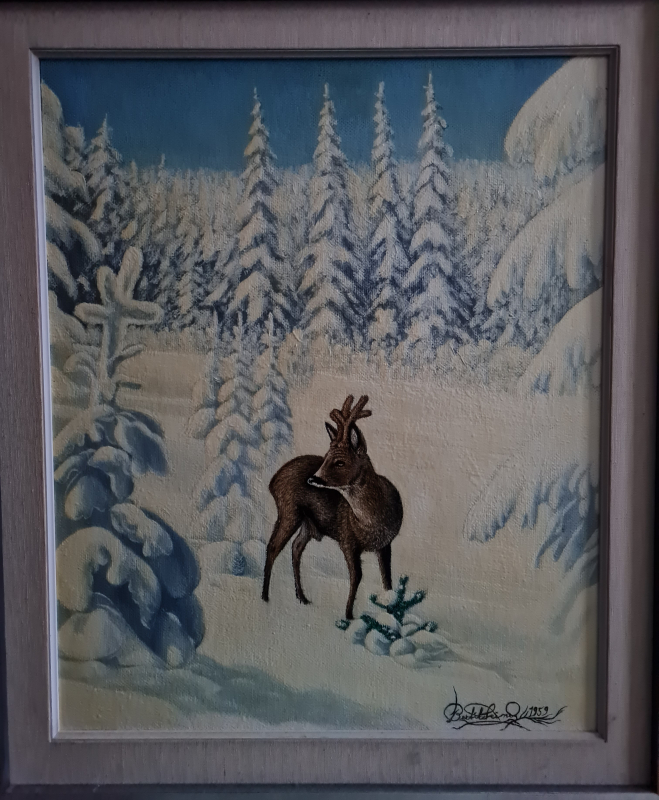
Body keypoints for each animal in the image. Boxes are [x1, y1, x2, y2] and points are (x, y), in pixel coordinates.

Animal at [261, 395, 404, 620]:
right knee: (274, 546)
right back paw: (266, 597)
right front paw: (349, 615)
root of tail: (272, 481)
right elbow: (357, 576)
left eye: (339, 462)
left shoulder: (385, 544)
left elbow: (387, 578)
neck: (371, 521)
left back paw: (302, 598)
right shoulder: (347, 539)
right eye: (326, 456)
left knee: (295, 547)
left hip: (307, 522)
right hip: (289, 510)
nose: (313, 479)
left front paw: (390, 608)